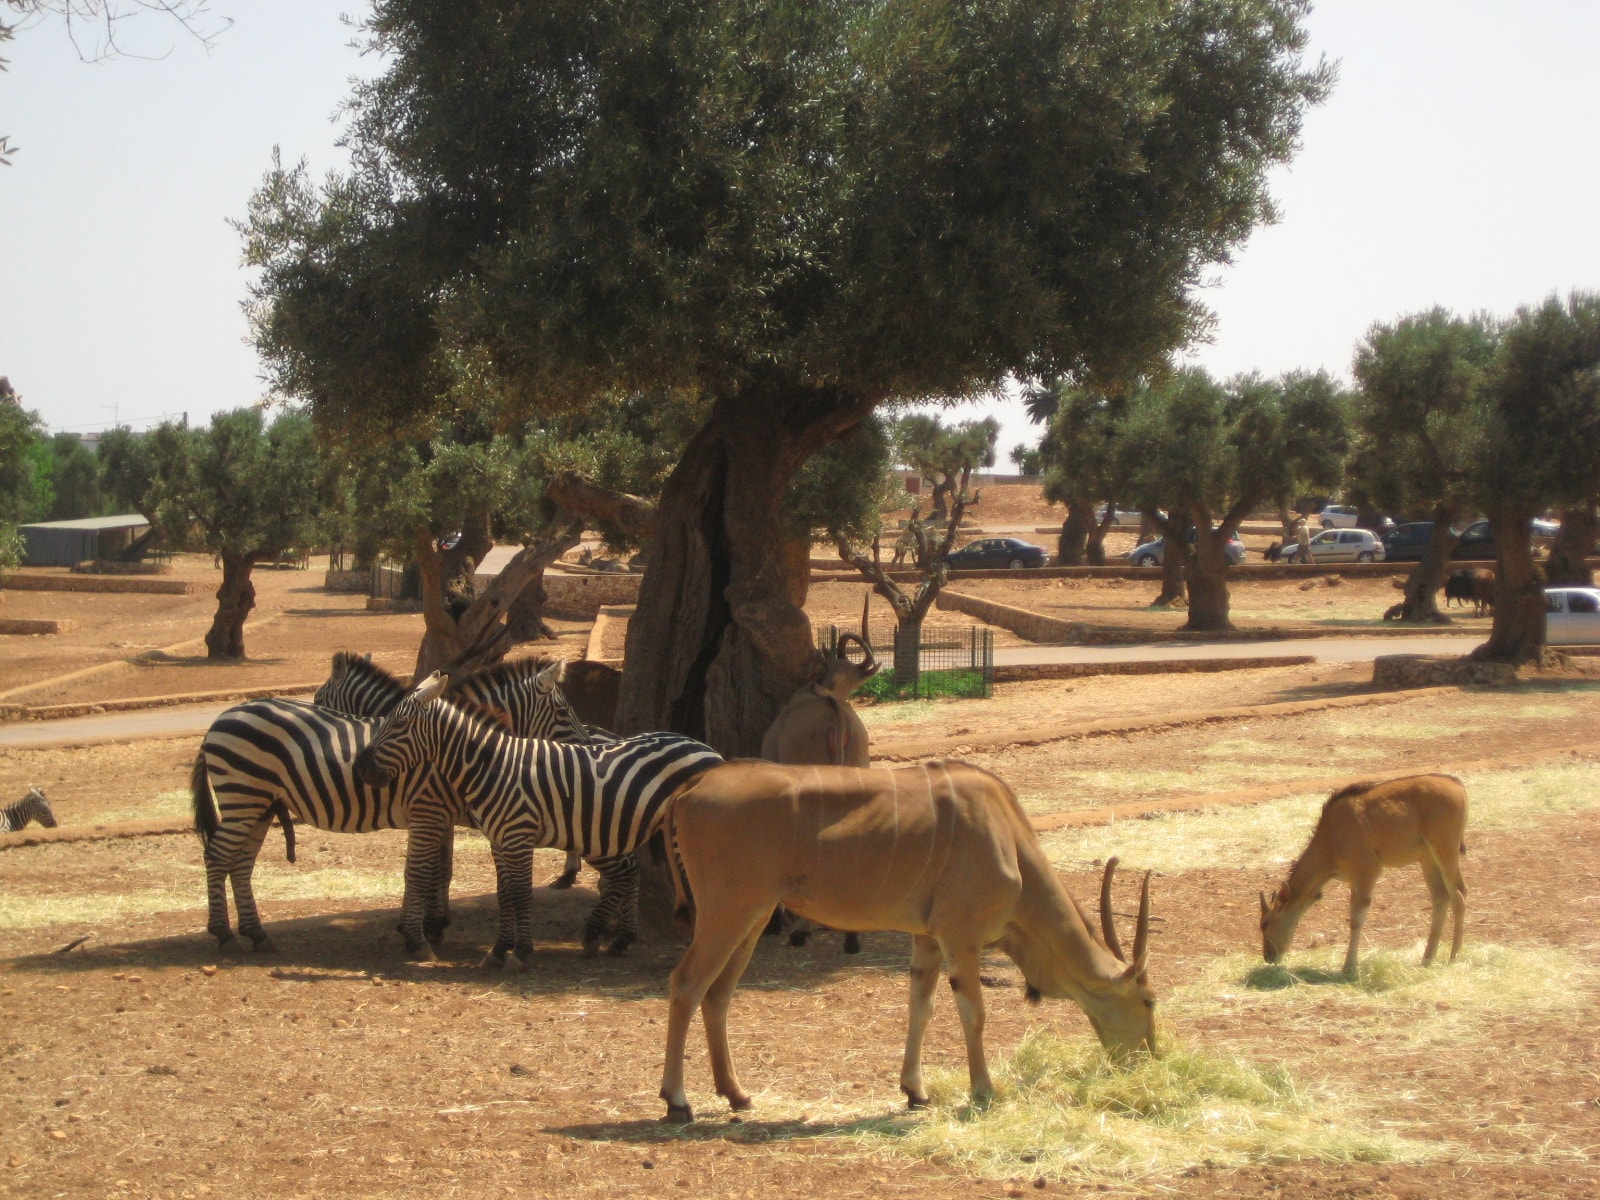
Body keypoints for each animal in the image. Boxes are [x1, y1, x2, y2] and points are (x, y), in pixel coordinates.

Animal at [355, 678, 720, 966]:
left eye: (398, 725)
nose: (361, 767)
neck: (492, 765)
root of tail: (711, 752)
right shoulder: (499, 838)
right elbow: (505, 894)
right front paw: (499, 950)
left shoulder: (518, 833)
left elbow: (520, 893)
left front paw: (521, 951)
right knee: (631, 873)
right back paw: (608, 938)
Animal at [656, 761, 1158, 1126]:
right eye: (1149, 1001)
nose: (1151, 1058)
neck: (1009, 840)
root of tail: (692, 787)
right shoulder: (961, 936)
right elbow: (973, 1014)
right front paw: (983, 1090)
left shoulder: (928, 939)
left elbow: (922, 1007)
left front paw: (915, 1091)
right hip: (727, 913)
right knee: (686, 983)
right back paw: (677, 1101)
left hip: (753, 917)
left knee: (718, 994)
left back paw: (737, 1094)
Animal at [1254, 774, 1465, 979]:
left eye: (1265, 924)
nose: (1268, 957)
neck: (1330, 838)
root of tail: (1457, 785)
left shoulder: (1368, 870)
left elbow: (1356, 918)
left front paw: (1349, 967)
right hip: (1427, 859)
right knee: (1441, 897)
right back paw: (1427, 959)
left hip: (1445, 849)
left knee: (1459, 894)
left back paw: (1453, 957)